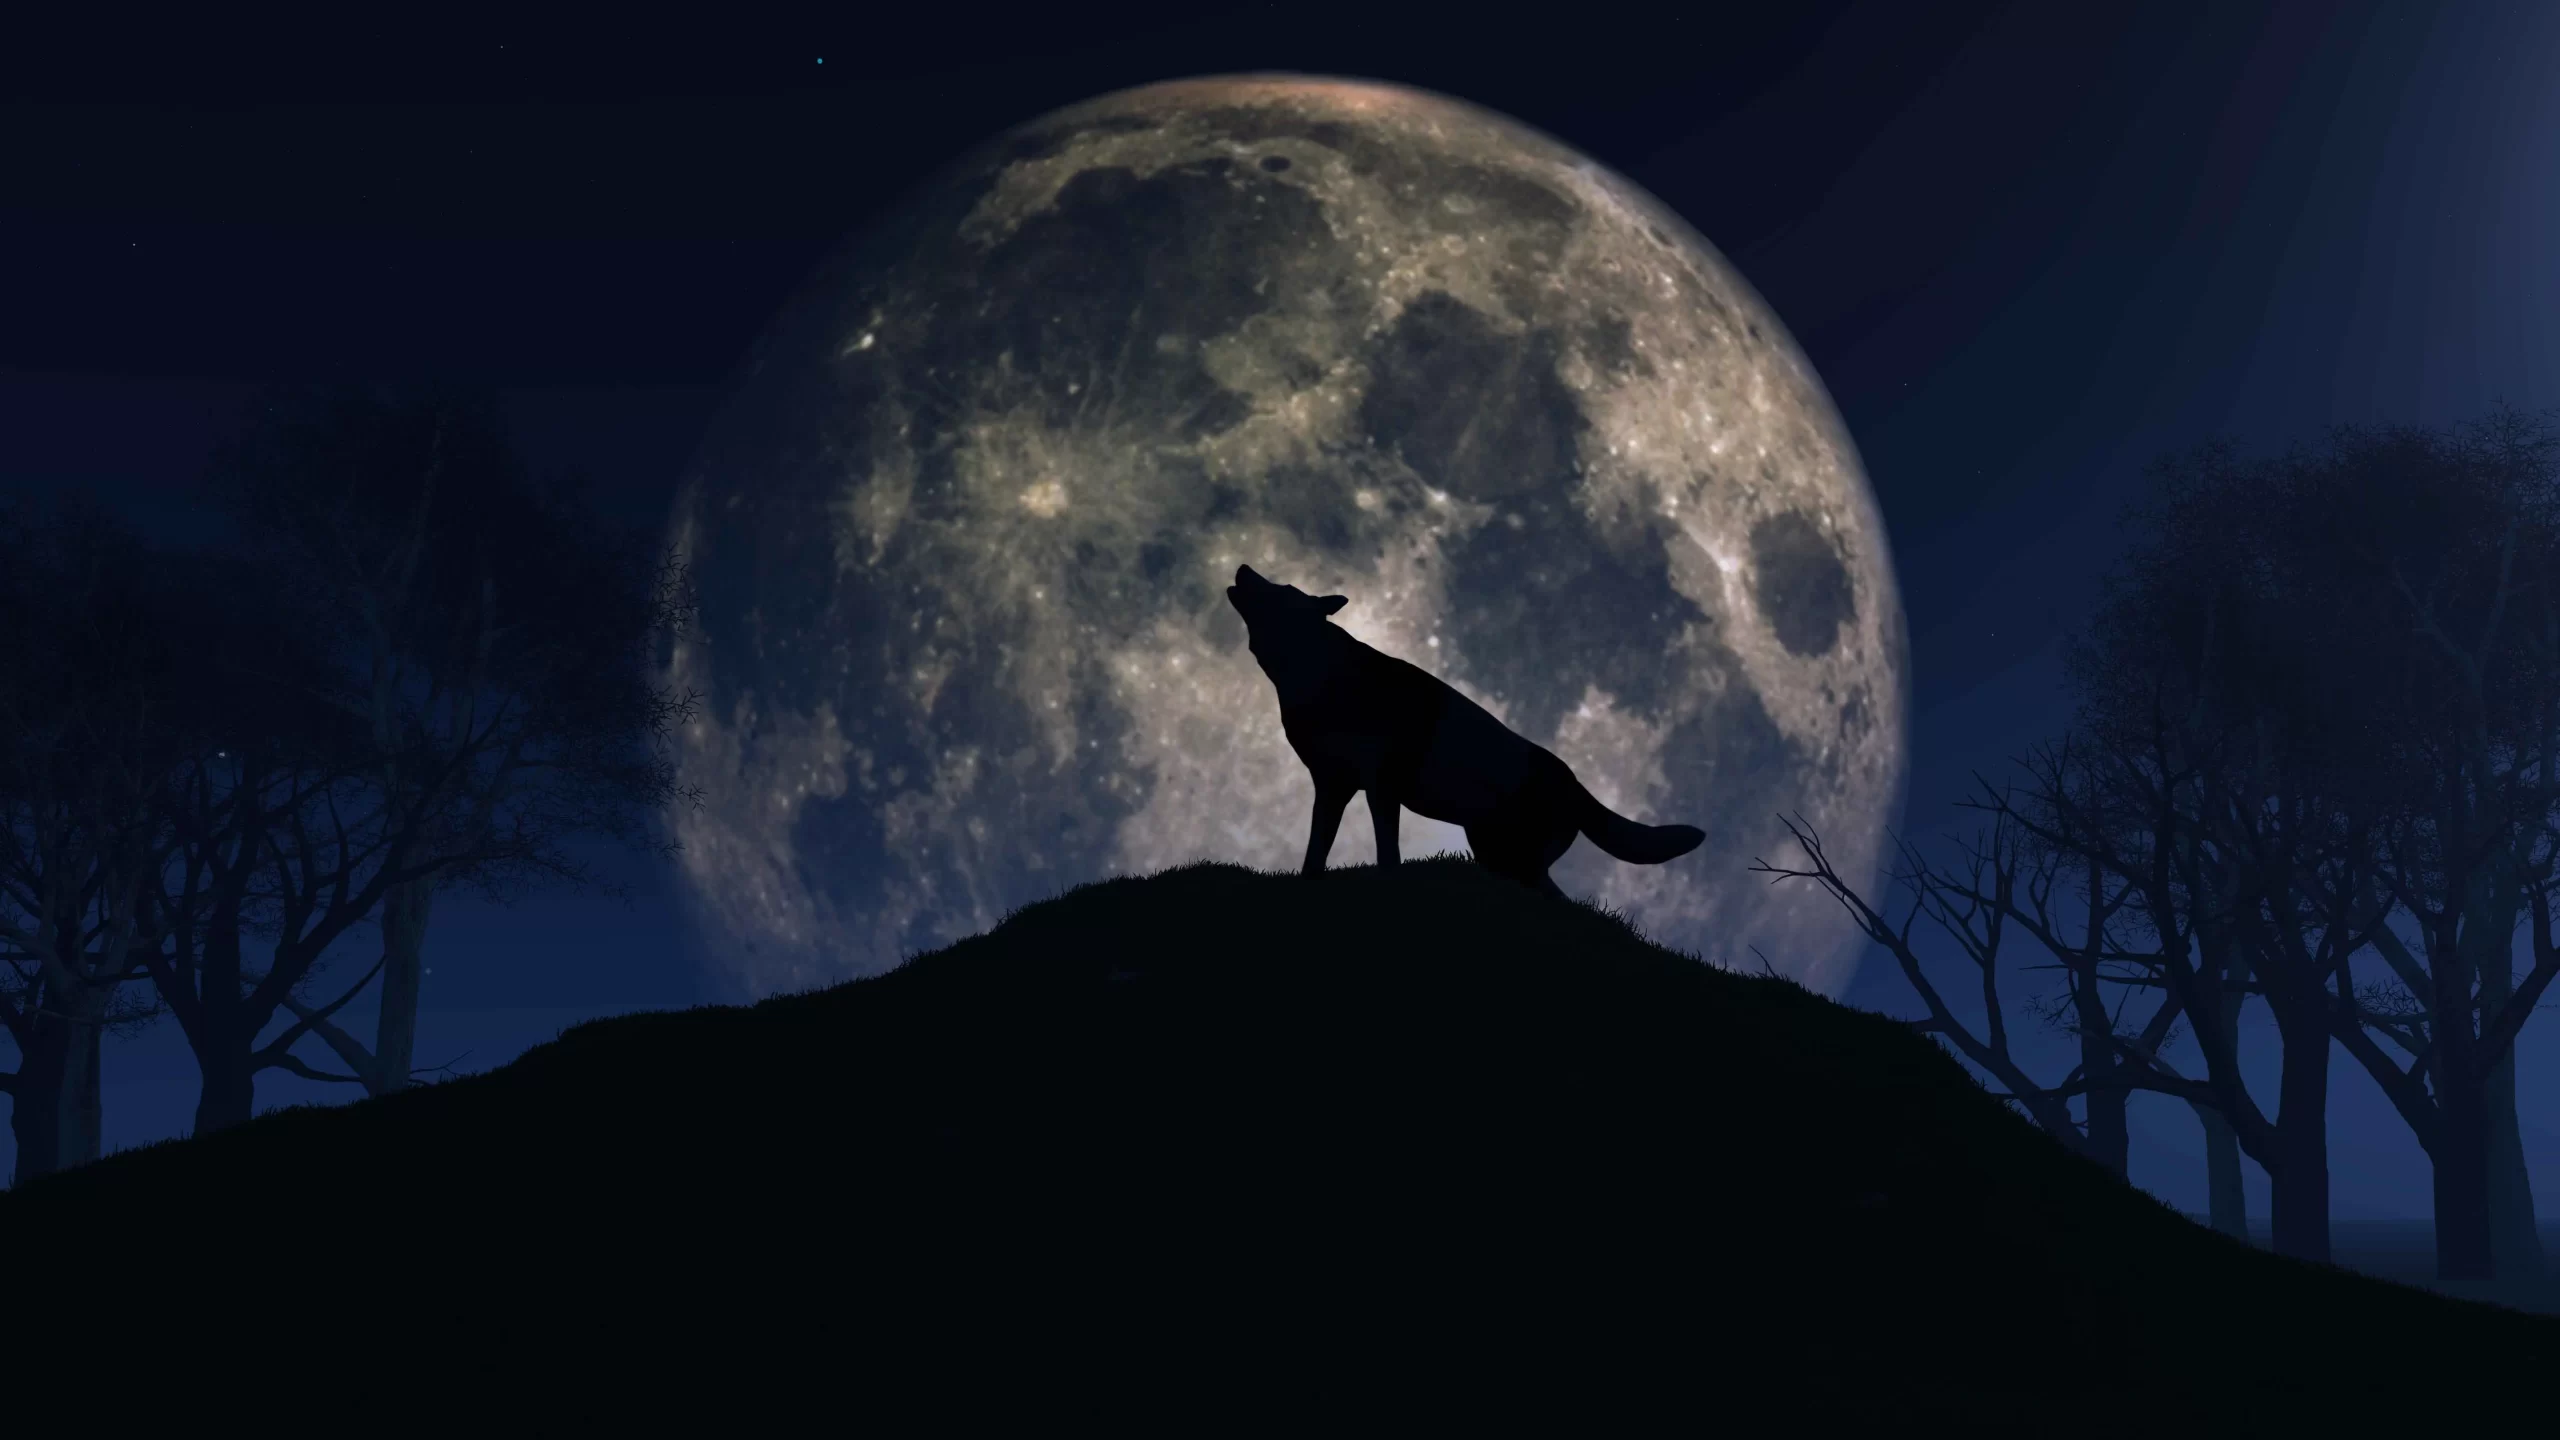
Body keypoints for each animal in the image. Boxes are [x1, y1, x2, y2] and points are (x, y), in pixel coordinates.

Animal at [1227, 564, 1705, 901]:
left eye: (1284, 590)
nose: (1244, 568)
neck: (1319, 672)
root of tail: (1576, 786)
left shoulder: (1381, 786)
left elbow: (1387, 855)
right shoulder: (1333, 787)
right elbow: (1315, 854)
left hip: (1514, 860)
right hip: (1495, 854)